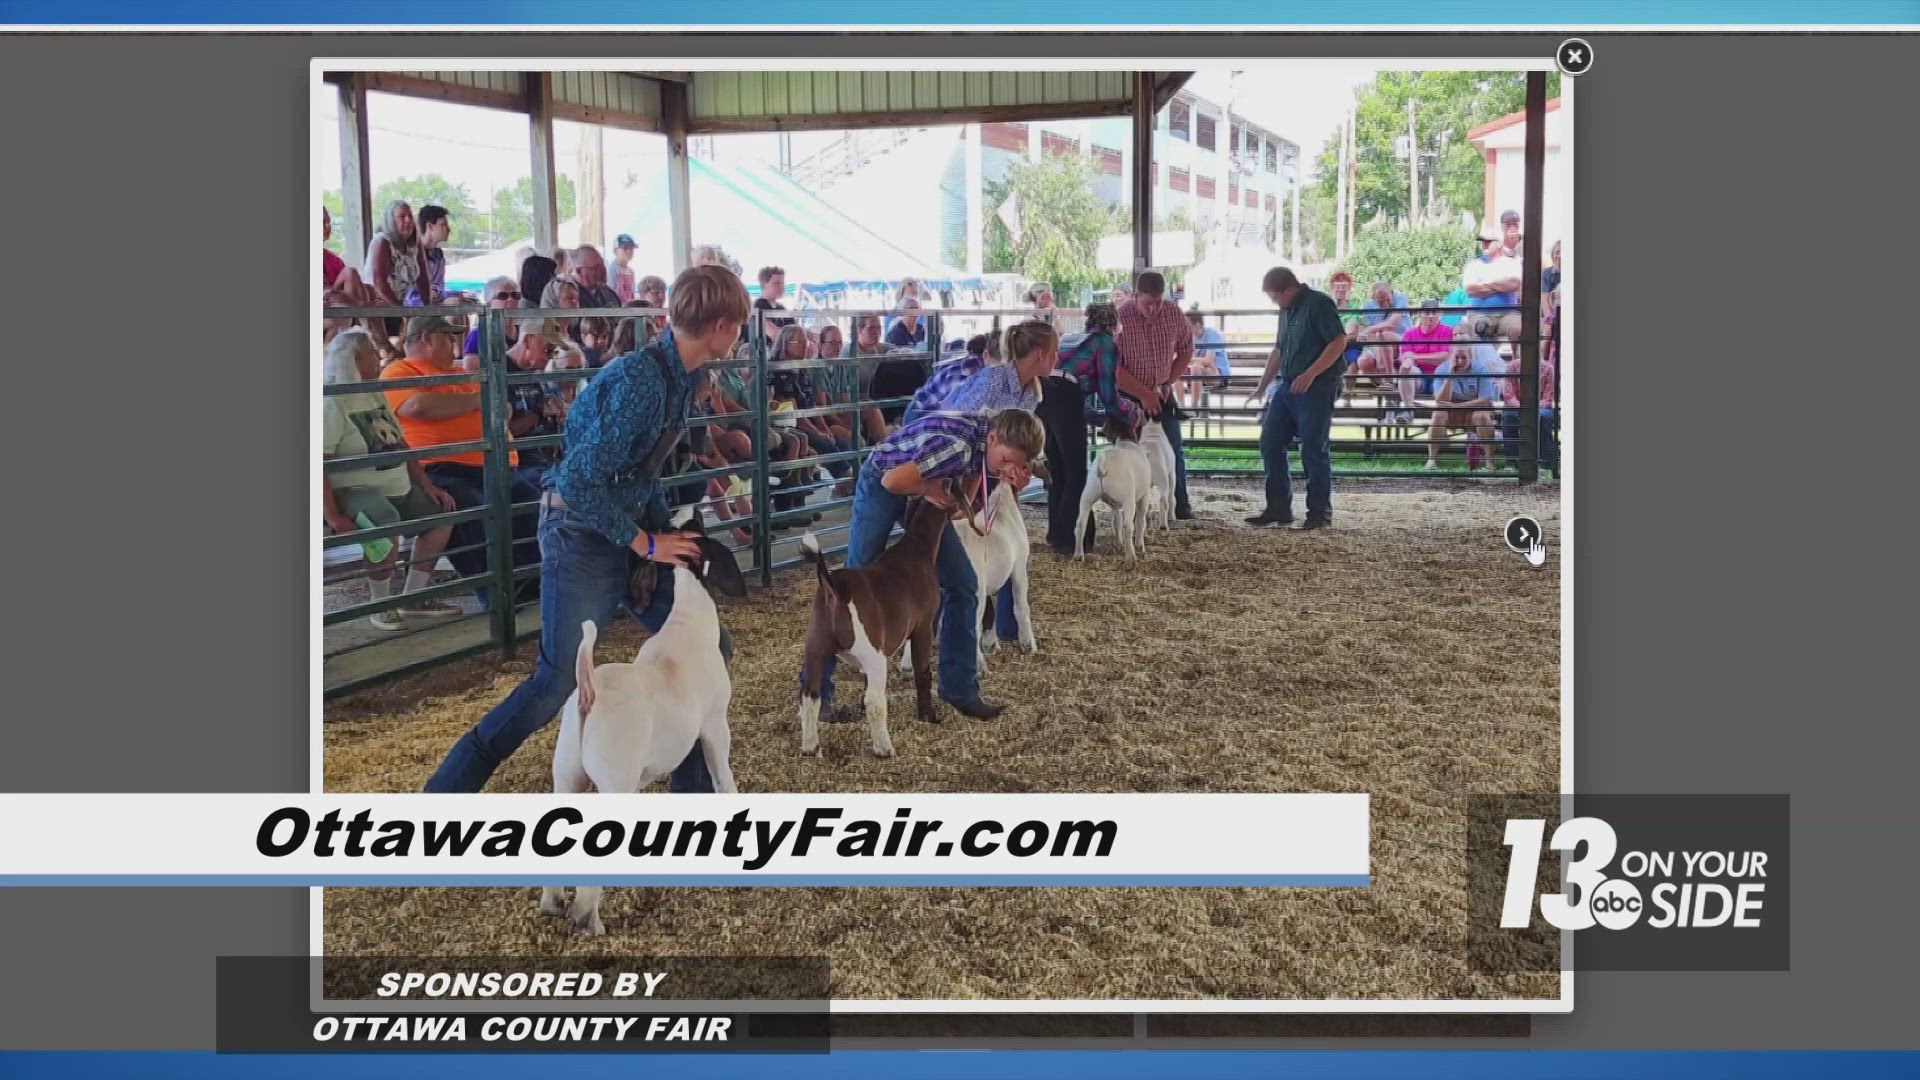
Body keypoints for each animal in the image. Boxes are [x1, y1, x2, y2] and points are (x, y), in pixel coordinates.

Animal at [545, 507, 752, 930]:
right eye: (698, 528)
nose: (690, 508)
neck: (686, 620)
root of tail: (590, 690)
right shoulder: (713, 723)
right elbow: (722, 775)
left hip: (567, 773)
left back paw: (554, 903)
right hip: (614, 782)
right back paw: (588, 920)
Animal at [791, 488, 956, 757]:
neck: (916, 549)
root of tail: (832, 587)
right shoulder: (922, 625)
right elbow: (923, 671)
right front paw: (929, 715)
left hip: (815, 646)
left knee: (810, 695)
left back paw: (810, 746)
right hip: (872, 652)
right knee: (875, 701)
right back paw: (884, 749)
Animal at [1075, 430, 1144, 564]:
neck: (1125, 441)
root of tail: (1103, 465)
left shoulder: (1115, 504)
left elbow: (1116, 521)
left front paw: (1118, 544)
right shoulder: (1144, 494)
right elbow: (1140, 520)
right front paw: (1140, 546)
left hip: (1087, 495)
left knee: (1080, 524)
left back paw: (1078, 555)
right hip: (1128, 499)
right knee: (1128, 526)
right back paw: (1131, 557)